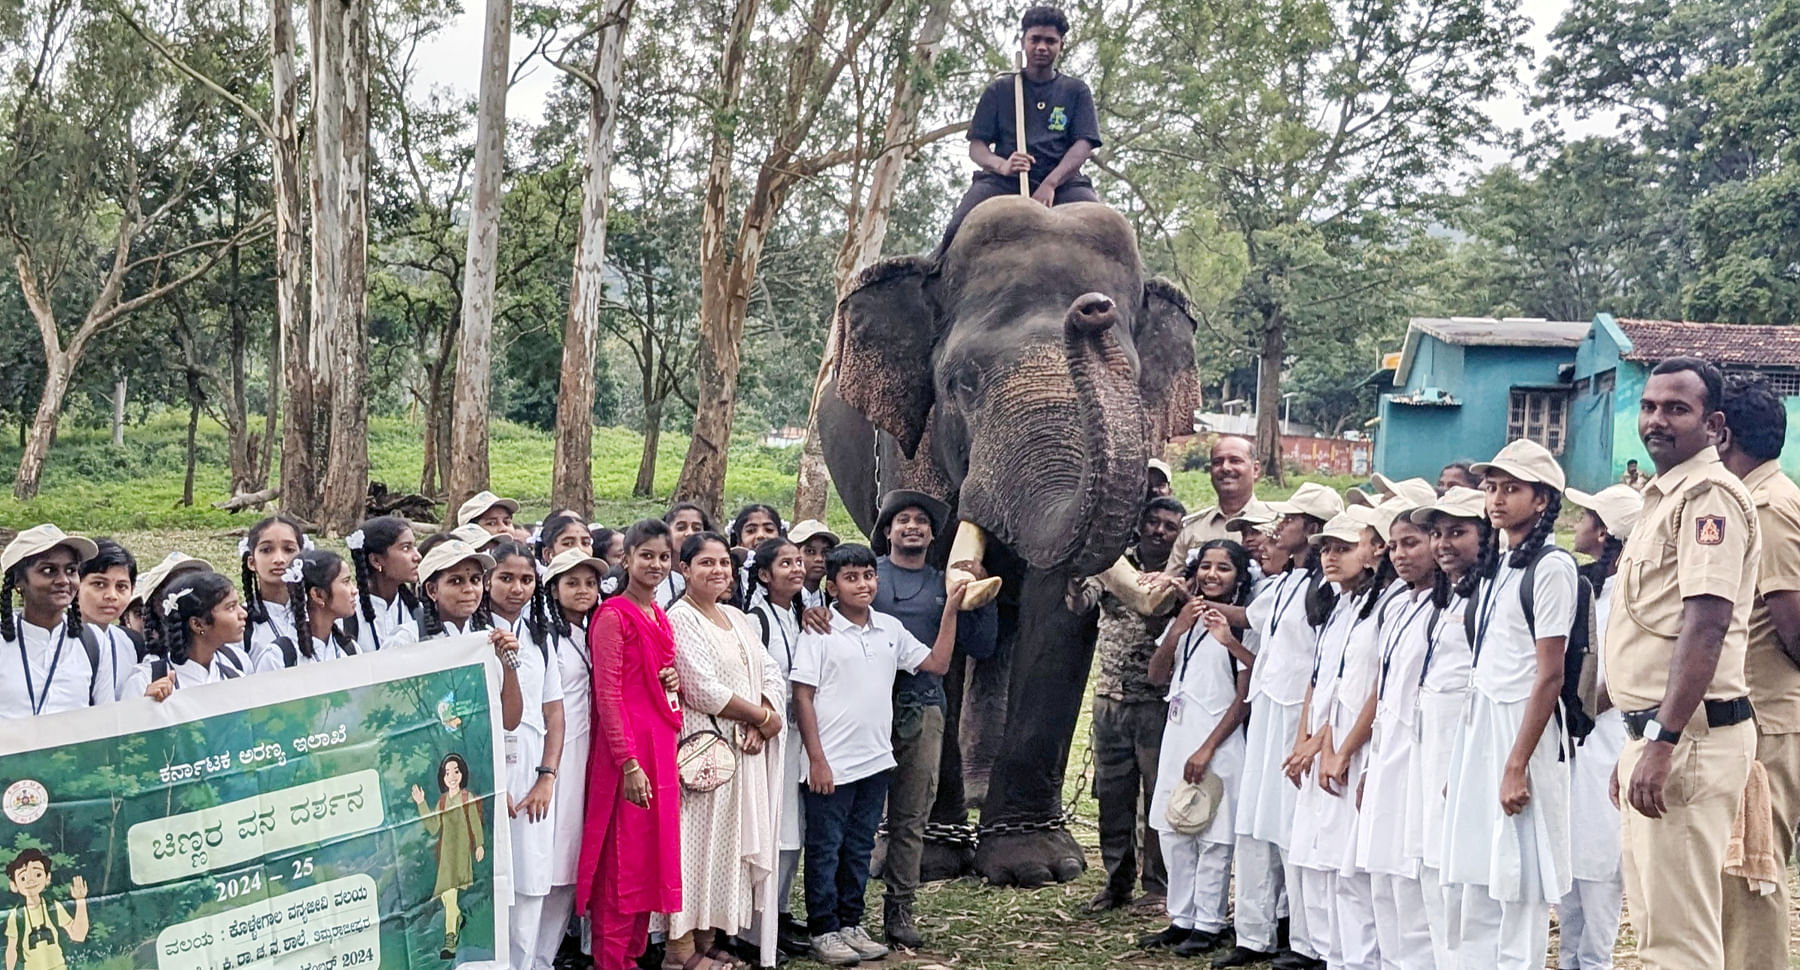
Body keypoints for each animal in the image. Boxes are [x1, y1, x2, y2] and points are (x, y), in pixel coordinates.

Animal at [824, 197, 1202, 889]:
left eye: (1133, 385)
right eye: (961, 383)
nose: (1092, 309)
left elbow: (1053, 614)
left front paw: (1035, 866)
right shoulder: (912, 443)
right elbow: (929, 601)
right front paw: (931, 859)